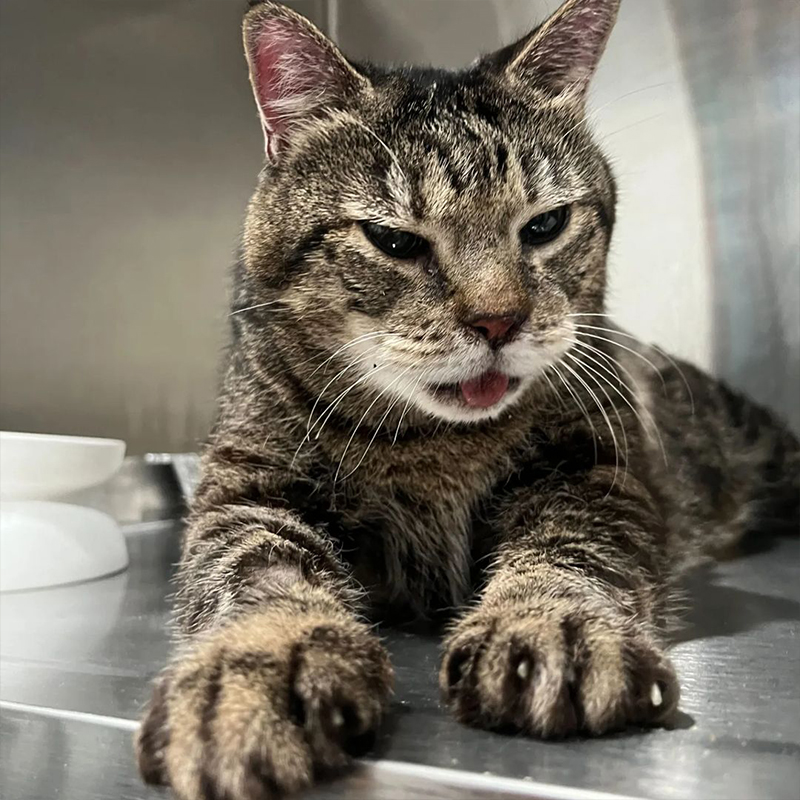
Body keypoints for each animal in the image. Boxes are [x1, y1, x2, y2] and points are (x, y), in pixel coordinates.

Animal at [134, 3, 796, 796]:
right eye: (392, 240)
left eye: (545, 226)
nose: (498, 321)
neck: (433, 444)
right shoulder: (246, 490)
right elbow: (258, 575)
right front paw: (249, 673)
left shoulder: (599, 473)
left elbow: (570, 549)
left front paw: (551, 626)